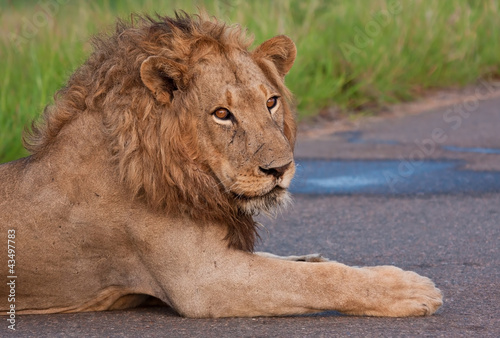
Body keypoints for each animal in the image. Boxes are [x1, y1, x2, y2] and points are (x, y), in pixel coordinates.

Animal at [0, 13, 442, 318]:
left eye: (271, 101)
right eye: (222, 114)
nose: (280, 169)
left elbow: (302, 264)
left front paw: (316, 257)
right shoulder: (203, 282)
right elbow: (311, 279)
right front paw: (407, 290)